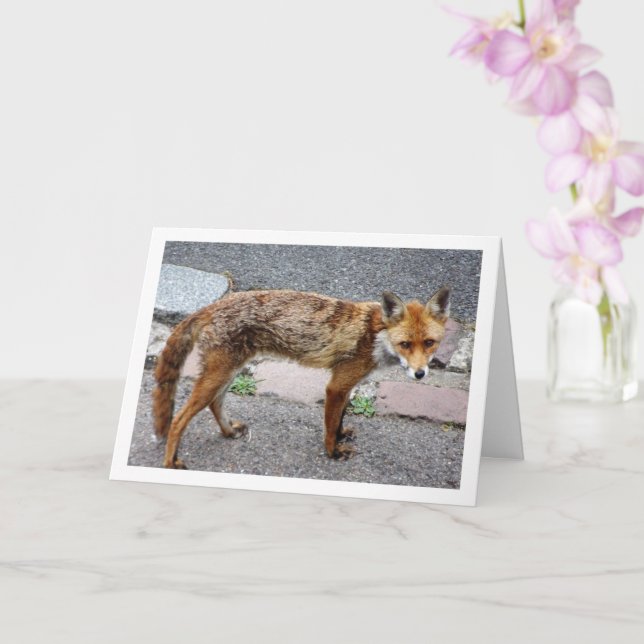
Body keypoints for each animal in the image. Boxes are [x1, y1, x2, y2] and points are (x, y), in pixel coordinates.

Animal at [153, 286, 451, 469]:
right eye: (405, 345)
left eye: (429, 343)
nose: (420, 373)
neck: (375, 336)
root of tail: (213, 305)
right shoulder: (336, 386)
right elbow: (329, 426)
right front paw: (333, 452)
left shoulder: (347, 385)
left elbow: (339, 418)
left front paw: (342, 435)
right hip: (219, 374)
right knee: (178, 419)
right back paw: (169, 463)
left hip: (228, 372)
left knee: (215, 404)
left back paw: (228, 432)